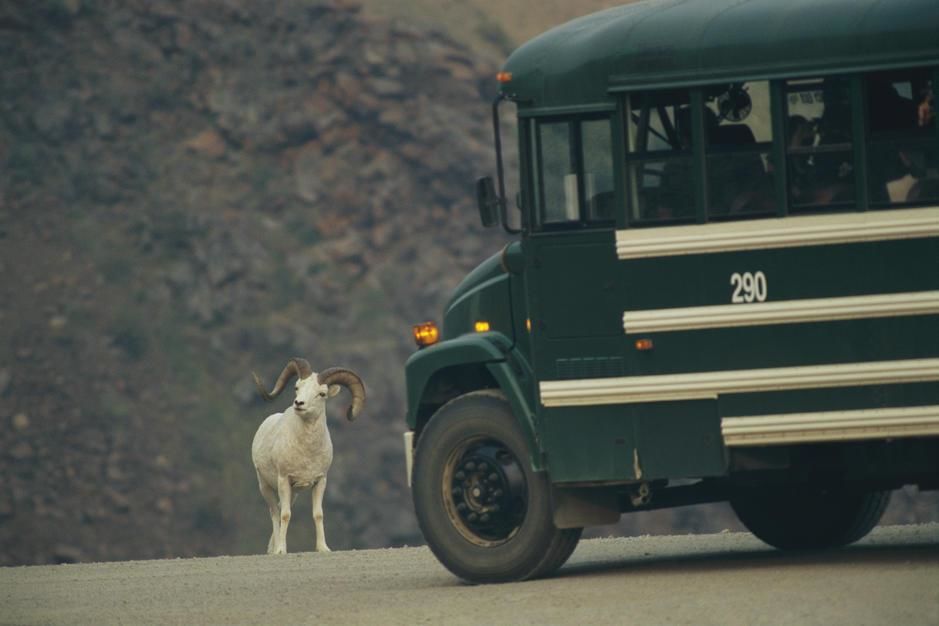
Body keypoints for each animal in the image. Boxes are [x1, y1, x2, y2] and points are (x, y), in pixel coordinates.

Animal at [252, 356, 366, 552]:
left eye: (322, 394)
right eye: (297, 387)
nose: (299, 404)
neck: (307, 452)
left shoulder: (320, 482)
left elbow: (317, 514)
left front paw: (323, 548)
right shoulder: (284, 480)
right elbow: (285, 515)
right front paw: (282, 550)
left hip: (293, 494)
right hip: (266, 487)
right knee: (275, 512)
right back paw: (274, 550)